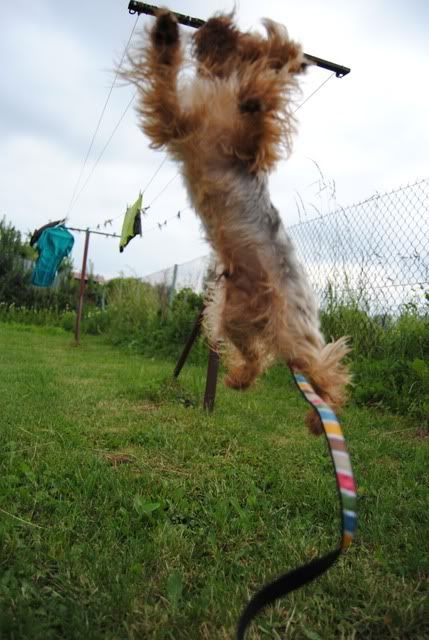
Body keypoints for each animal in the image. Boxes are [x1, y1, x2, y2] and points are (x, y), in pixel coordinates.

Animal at [123, 9, 350, 433]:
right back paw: (240, 378)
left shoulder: (247, 145)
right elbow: (164, 77)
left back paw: (319, 418)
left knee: (326, 372)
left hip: (293, 327)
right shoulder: (177, 121)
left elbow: (261, 101)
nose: (211, 25)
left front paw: (271, 70)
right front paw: (164, 33)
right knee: (257, 355)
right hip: (233, 320)